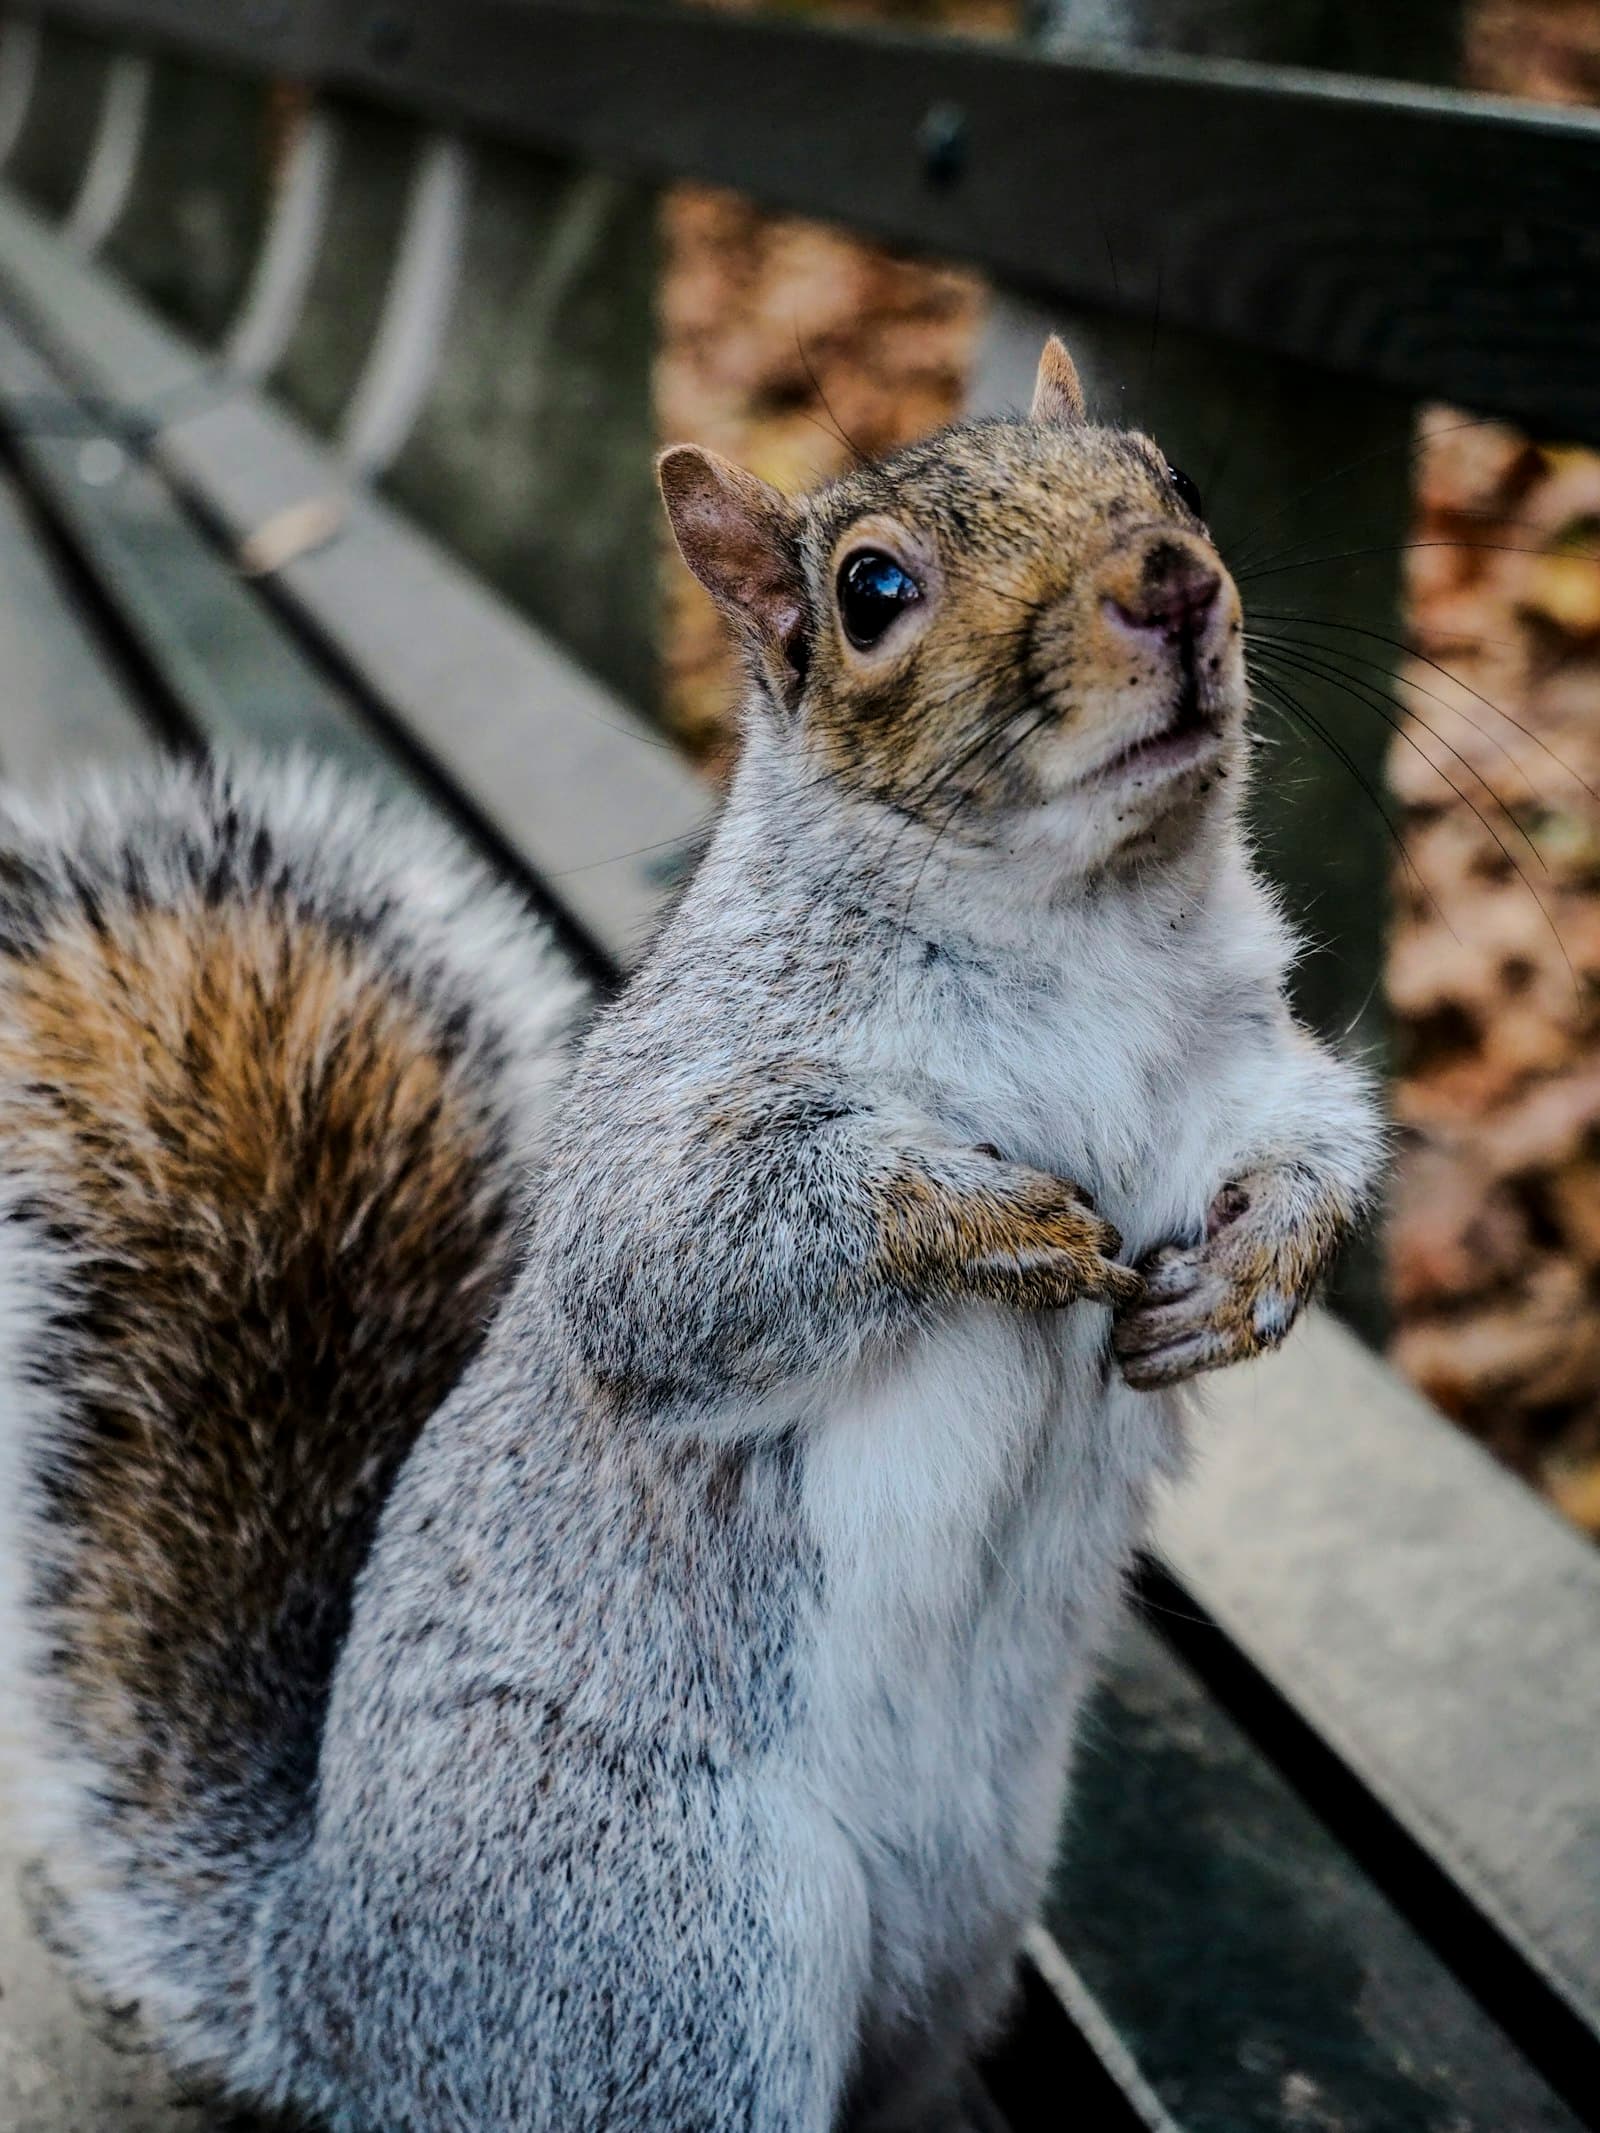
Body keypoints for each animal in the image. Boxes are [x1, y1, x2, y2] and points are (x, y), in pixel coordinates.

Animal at [0, 337, 1379, 2132]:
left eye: (1178, 479)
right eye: (873, 590)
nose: (1174, 577)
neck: (1086, 926)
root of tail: (334, 1986)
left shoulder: (1229, 1061)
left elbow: (1308, 1134)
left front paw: (1251, 1274)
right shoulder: (684, 1099)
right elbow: (677, 1263)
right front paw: (989, 1217)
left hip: (955, 1935)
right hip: (676, 1936)